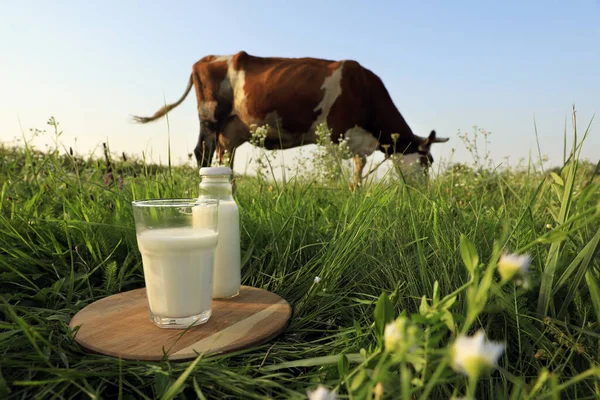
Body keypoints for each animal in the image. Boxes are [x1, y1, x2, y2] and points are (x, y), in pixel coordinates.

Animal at [132, 50, 450, 186]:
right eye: (427, 162)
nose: (425, 194)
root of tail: (207, 58)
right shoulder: (333, 136)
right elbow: (335, 176)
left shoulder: (358, 144)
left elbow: (357, 176)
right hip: (210, 117)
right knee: (202, 153)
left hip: (230, 132)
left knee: (225, 161)